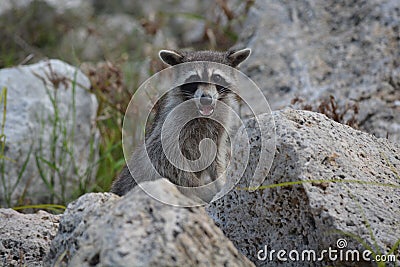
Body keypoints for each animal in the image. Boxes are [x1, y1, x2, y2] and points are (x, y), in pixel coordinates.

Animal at [111, 48, 252, 203]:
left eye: (217, 77)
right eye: (194, 79)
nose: (206, 99)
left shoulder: (219, 129)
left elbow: (217, 158)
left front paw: (221, 182)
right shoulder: (169, 128)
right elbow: (166, 161)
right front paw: (203, 189)